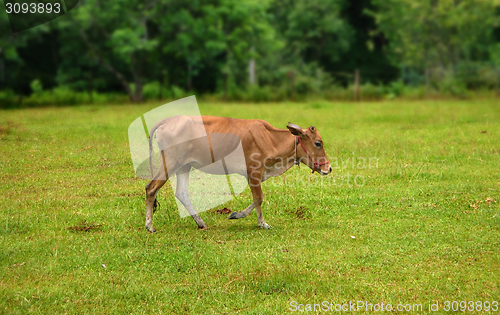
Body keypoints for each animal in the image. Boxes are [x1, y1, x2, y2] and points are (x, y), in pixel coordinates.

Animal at [146, 116, 332, 232]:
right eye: (318, 143)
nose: (328, 168)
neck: (270, 139)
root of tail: (167, 121)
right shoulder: (254, 172)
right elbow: (259, 198)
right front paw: (262, 223)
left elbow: (256, 199)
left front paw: (237, 214)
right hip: (170, 163)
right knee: (151, 188)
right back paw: (149, 226)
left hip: (184, 166)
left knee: (182, 193)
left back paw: (200, 223)